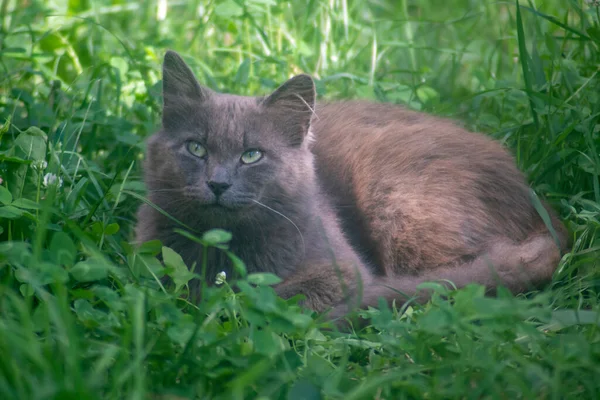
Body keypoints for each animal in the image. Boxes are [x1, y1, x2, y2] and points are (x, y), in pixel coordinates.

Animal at [134, 50, 568, 318]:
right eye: (196, 148)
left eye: (252, 155)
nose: (218, 183)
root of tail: (540, 207)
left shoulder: (342, 271)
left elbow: (277, 296)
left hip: (400, 204)